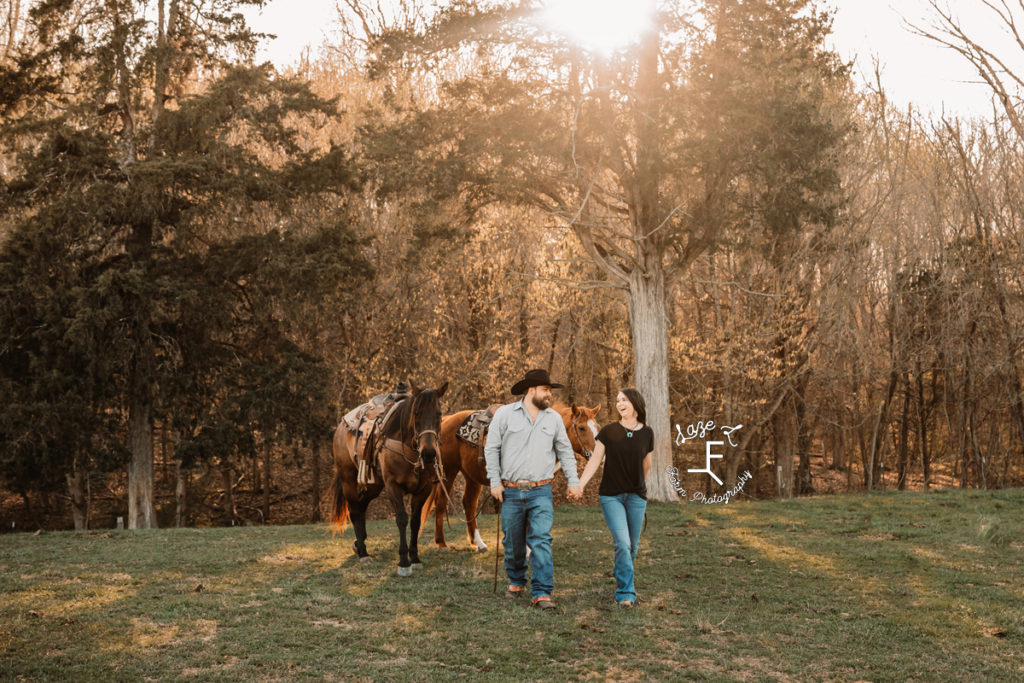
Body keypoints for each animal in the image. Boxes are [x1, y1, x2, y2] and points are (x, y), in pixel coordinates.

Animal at [331, 382, 448, 573]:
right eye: (417, 413)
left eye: (439, 414)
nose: (429, 453)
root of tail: (342, 426)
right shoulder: (393, 486)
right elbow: (401, 519)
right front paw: (404, 562)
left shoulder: (424, 489)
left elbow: (415, 521)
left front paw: (415, 557)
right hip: (348, 479)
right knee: (355, 511)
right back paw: (363, 553)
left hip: (374, 486)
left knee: (362, 506)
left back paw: (359, 544)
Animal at [421, 403, 598, 552]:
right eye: (582, 427)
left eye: (596, 427)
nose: (597, 454)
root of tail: (447, 420)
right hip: (448, 471)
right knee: (441, 503)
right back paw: (442, 544)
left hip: (471, 475)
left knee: (469, 504)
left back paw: (478, 543)